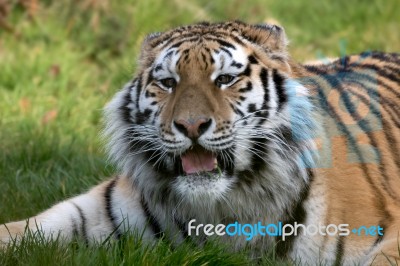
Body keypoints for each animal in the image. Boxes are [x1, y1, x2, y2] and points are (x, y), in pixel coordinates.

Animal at [0, 21, 400, 266]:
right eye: (168, 83)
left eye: (224, 79)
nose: (191, 125)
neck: (223, 207)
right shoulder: (102, 209)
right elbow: (25, 228)